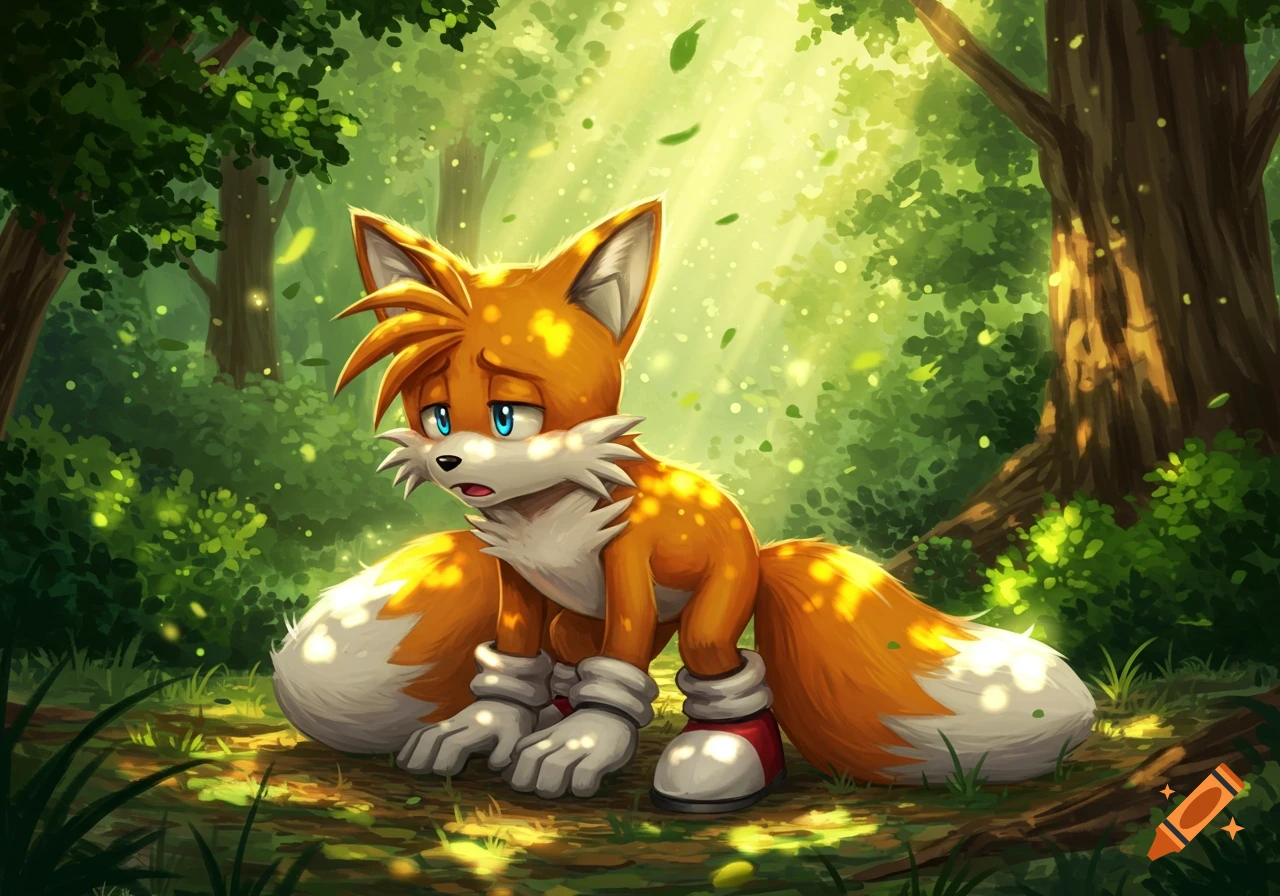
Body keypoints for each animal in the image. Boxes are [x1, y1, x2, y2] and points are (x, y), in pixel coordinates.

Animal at [270, 196, 1097, 813]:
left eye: (507, 418)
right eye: (439, 417)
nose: (449, 460)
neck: (543, 517)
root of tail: (760, 547)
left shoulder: (627, 559)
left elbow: (622, 660)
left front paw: (583, 746)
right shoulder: (517, 578)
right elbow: (511, 655)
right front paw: (489, 725)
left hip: (713, 604)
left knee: (713, 666)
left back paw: (716, 757)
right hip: (574, 622)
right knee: (565, 665)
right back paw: (543, 719)